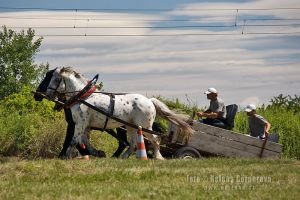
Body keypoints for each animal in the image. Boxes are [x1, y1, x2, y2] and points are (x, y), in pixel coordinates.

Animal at [45, 67, 193, 159]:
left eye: (55, 79)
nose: (47, 94)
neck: (84, 98)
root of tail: (150, 101)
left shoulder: (80, 124)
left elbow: (73, 140)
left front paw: (67, 156)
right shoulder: (85, 125)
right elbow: (84, 141)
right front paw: (97, 153)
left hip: (144, 126)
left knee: (155, 139)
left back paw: (158, 157)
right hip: (132, 126)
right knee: (133, 143)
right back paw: (124, 157)